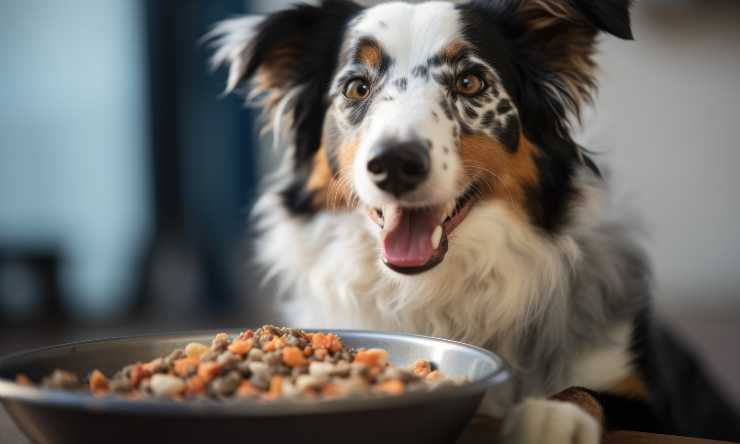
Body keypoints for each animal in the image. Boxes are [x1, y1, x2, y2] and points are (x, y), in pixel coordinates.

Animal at [207, 1, 740, 442]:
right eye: (357, 87)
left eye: (469, 82)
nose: (395, 164)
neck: (435, 290)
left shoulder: (651, 396)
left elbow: (591, 391)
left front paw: (553, 415)